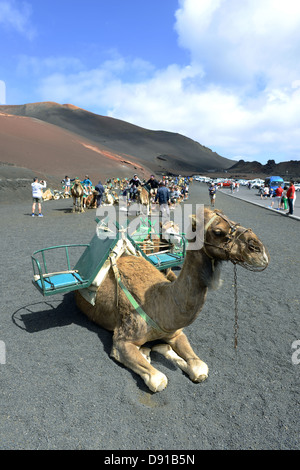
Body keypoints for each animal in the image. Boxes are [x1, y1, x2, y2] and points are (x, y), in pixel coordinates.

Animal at [75, 207, 270, 392]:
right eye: (218, 231)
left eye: (232, 219)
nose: (259, 250)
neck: (160, 303)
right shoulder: (122, 340)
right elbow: (159, 380)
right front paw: (148, 353)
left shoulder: (176, 333)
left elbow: (200, 368)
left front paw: (161, 349)